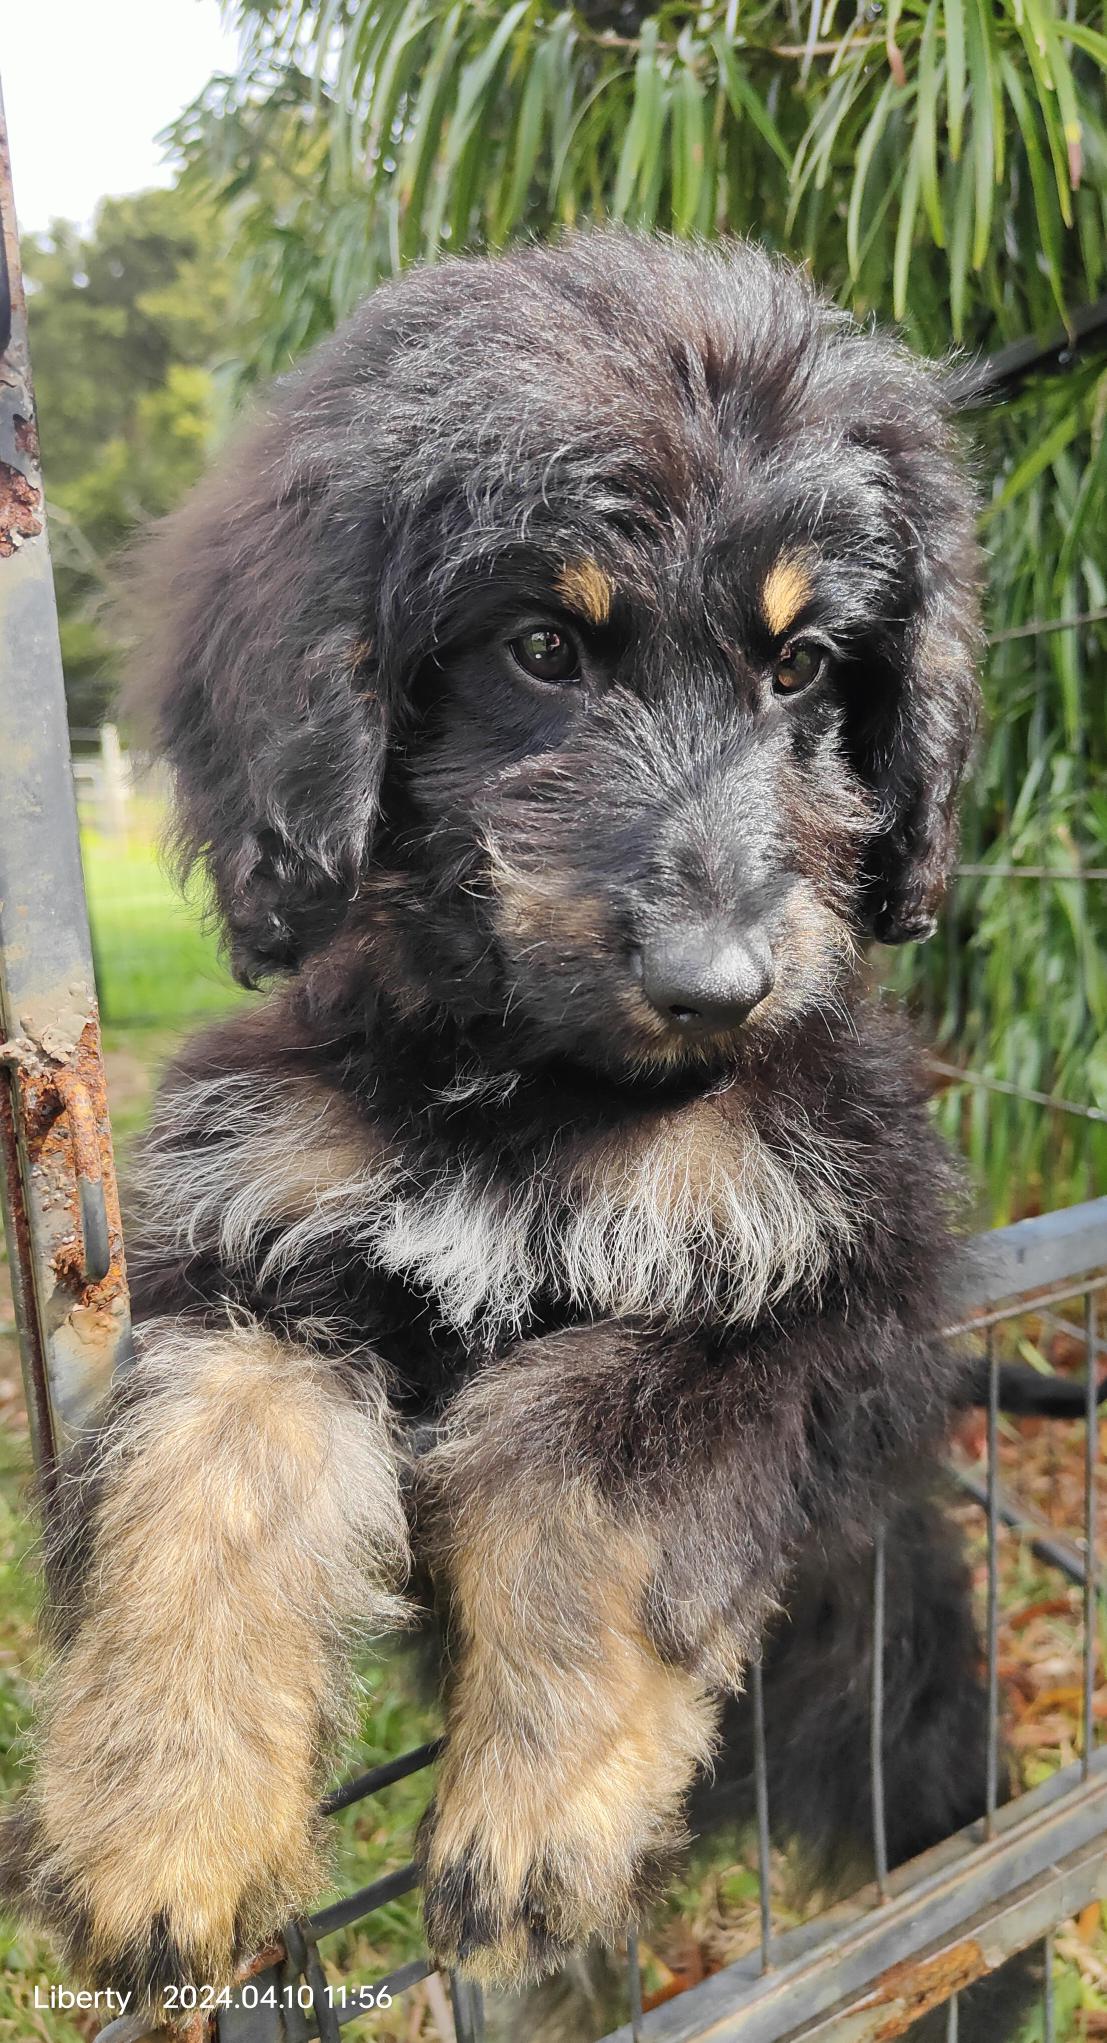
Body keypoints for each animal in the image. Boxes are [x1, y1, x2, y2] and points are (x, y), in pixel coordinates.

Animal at [0, 231, 988, 2018]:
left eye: (800, 667)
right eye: (541, 647)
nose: (718, 985)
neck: (531, 1094)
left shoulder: (834, 1285)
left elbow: (588, 1445)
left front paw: (534, 1817)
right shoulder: (259, 1237)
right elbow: (207, 1454)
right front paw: (157, 1822)